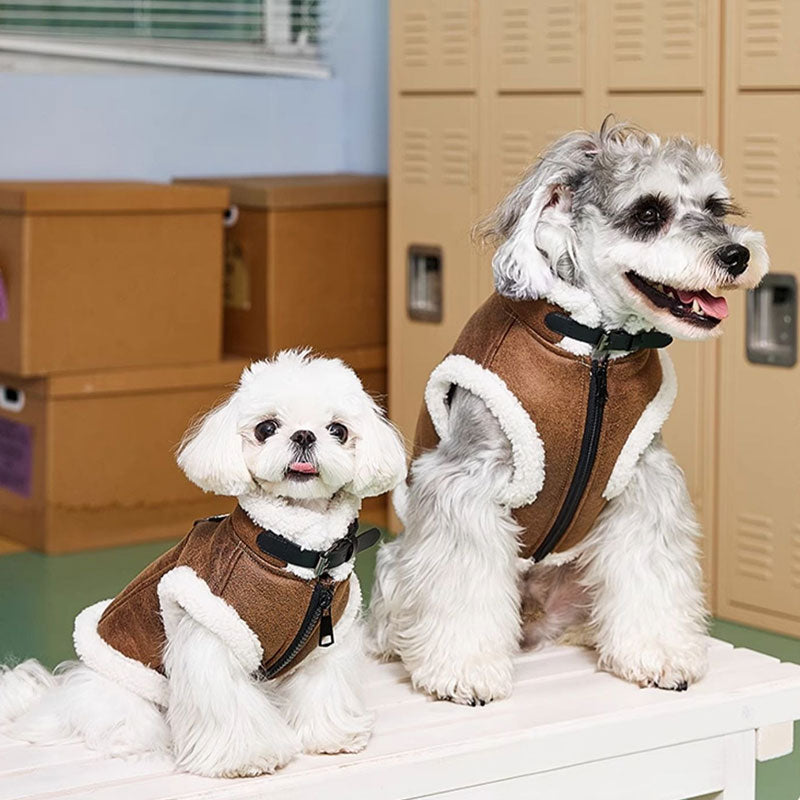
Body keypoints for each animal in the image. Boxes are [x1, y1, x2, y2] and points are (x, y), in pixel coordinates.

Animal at [0, 350, 406, 776]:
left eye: (337, 430)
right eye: (266, 428)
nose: (304, 436)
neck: (296, 556)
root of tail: (60, 699)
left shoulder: (325, 639)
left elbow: (322, 687)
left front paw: (330, 735)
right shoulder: (211, 632)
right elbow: (230, 702)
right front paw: (247, 756)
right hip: (128, 694)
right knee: (120, 725)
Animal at [368, 122, 768, 704]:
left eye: (715, 206)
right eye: (649, 212)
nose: (737, 254)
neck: (595, 346)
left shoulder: (645, 478)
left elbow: (651, 571)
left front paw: (660, 654)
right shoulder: (466, 480)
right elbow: (462, 581)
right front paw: (464, 672)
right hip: (398, 569)